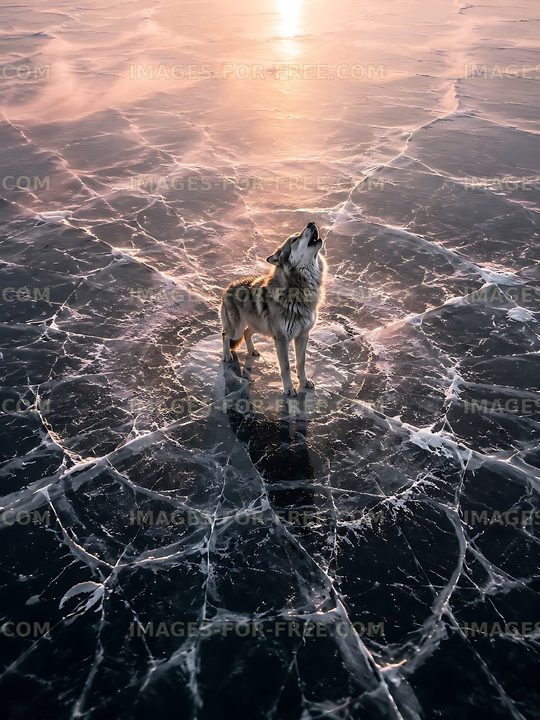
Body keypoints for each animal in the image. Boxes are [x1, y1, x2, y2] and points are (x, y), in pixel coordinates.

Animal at [220, 221, 326, 396]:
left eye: (297, 235)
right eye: (295, 239)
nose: (311, 223)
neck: (300, 290)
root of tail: (229, 286)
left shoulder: (303, 335)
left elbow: (301, 363)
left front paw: (304, 382)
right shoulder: (282, 339)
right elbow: (286, 367)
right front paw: (289, 388)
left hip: (257, 325)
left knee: (247, 333)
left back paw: (252, 351)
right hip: (236, 329)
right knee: (225, 335)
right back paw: (227, 355)